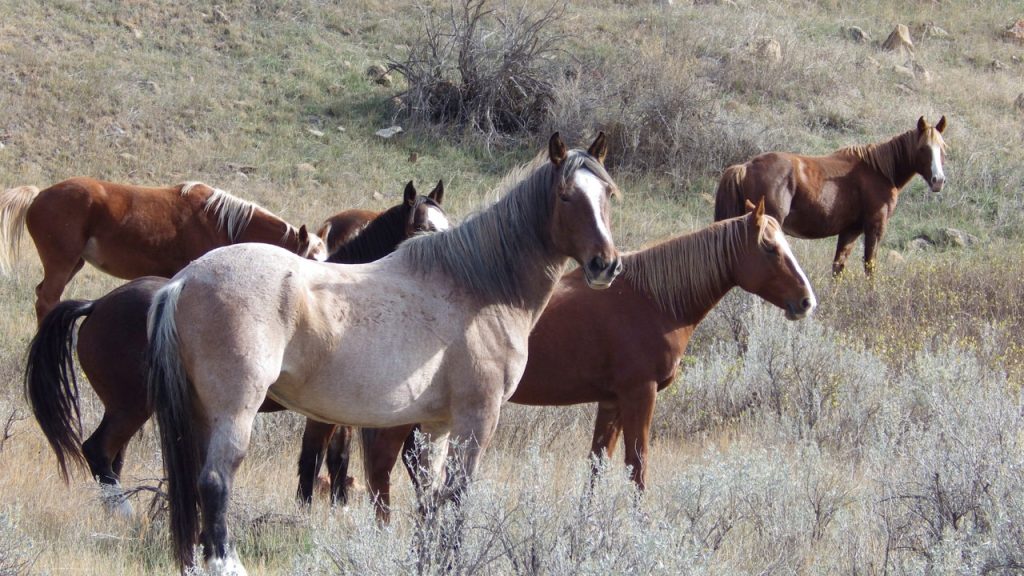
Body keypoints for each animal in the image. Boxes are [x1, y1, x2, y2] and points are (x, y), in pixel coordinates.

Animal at [0, 177, 327, 319]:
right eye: (308, 261)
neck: (221, 222)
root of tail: (39, 194)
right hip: (62, 263)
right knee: (47, 300)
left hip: (72, 264)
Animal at [354, 198, 815, 520]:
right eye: (770, 249)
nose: (806, 301)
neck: (651, 300)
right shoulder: (640, 395)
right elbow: (637, 466)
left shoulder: (611, 401)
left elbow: (597, 466)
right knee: (381, 470)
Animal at [716, 114, 946, 276]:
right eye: (923, 148)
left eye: (943, 148)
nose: (938, 180)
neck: (879, 171)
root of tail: (745, 167)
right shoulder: (875, 227)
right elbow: (869, 266)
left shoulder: (850, 231)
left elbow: (838, 268)